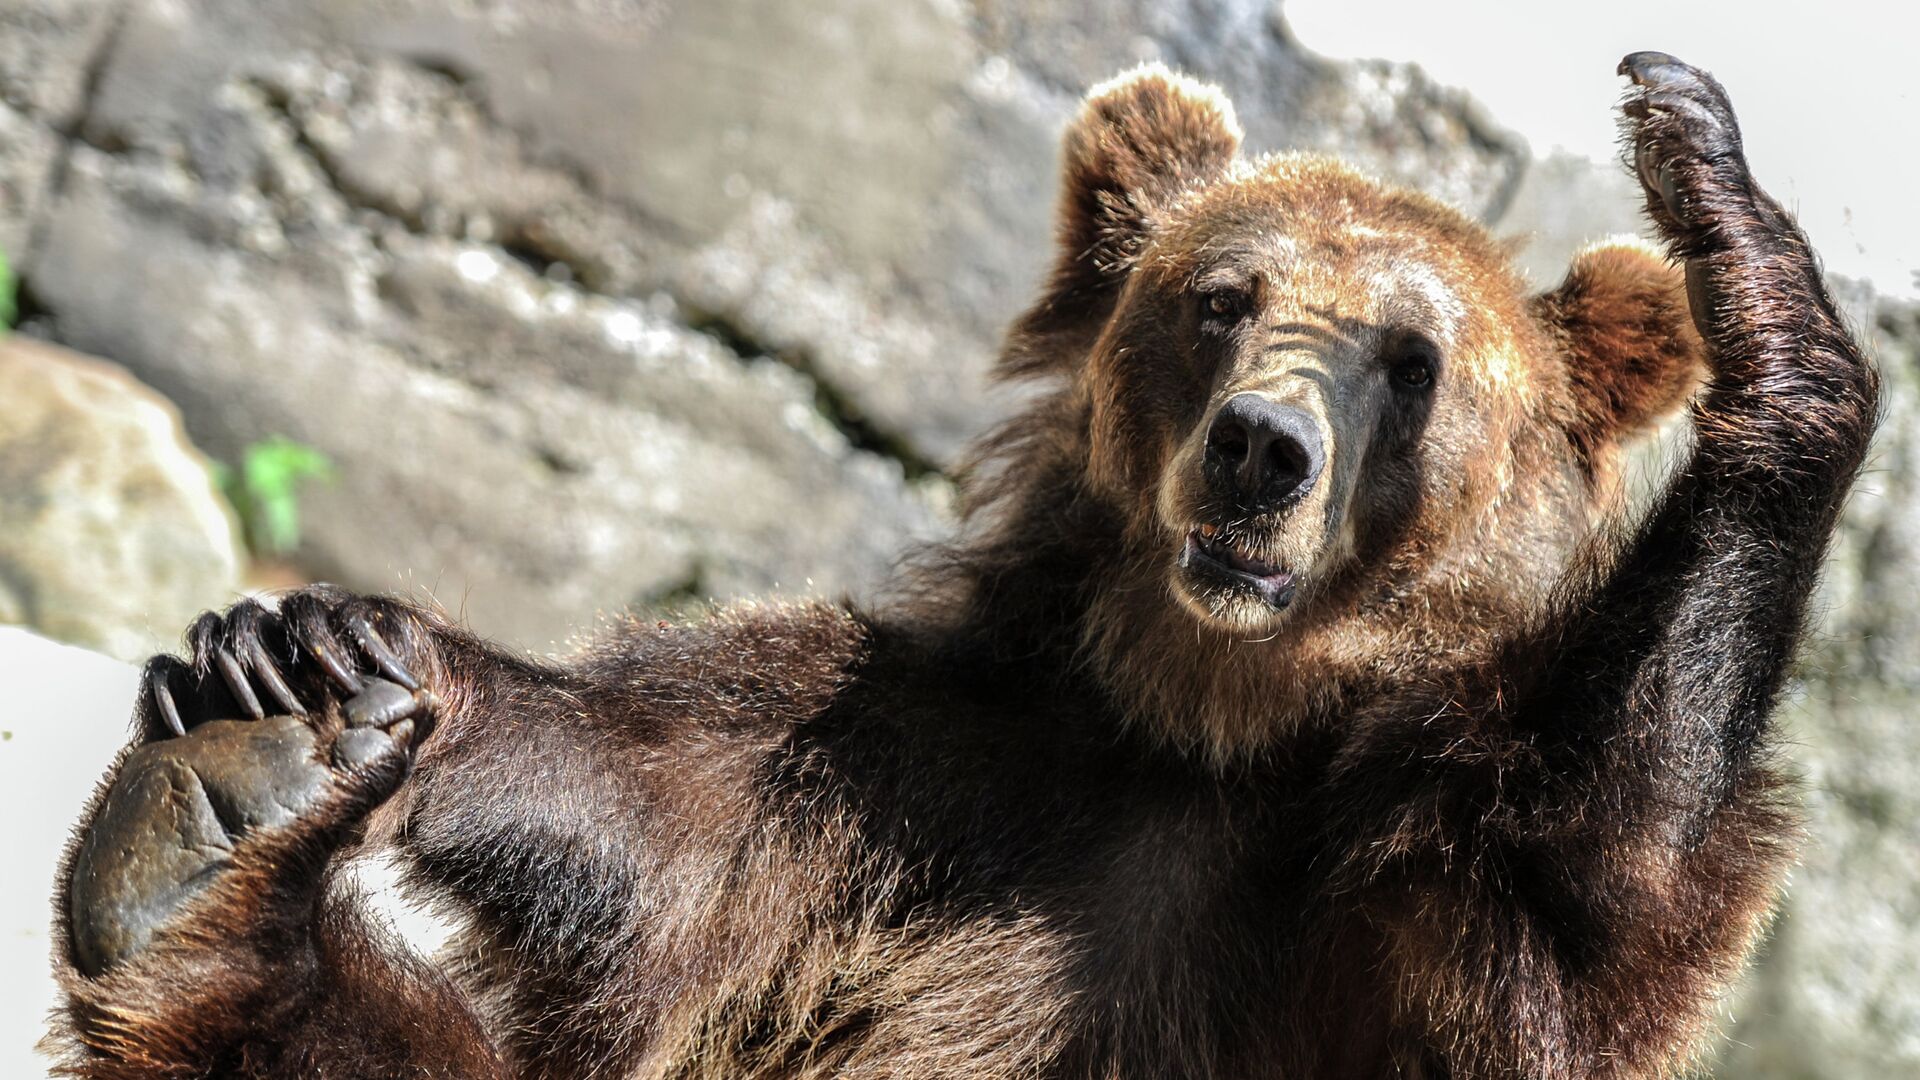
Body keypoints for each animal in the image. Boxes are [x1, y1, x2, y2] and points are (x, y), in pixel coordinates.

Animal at [45, 54, 1873, 1076]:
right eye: (1222, 298)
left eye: (1412, 361)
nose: (1261, 452)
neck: (1198, 721)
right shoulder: (917, 773)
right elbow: (634, 792)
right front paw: (322, 642)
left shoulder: (1367, 909)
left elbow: (1600, 884)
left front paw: (1736, 230)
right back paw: (219, 815)